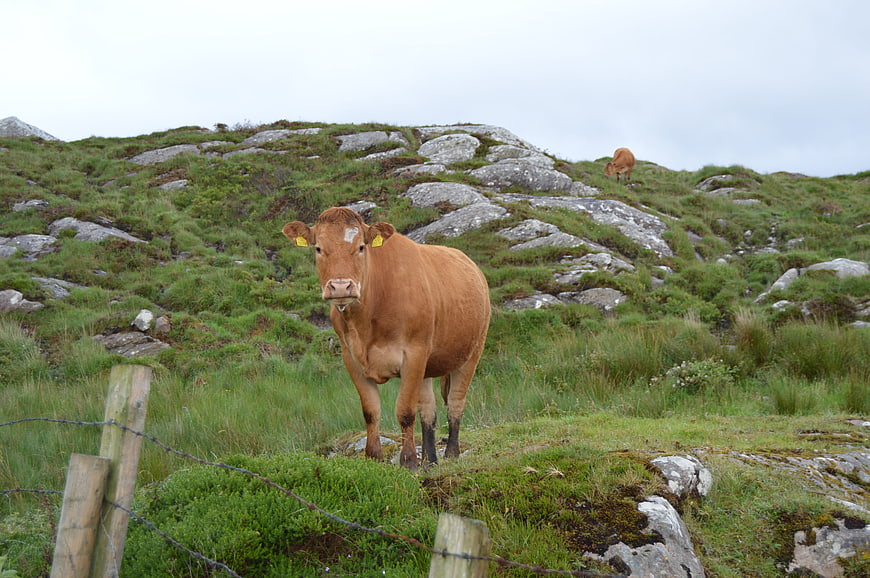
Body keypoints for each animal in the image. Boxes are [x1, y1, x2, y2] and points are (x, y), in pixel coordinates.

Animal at [282, 207, 491, 470]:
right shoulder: (351, 358)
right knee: (428, 410)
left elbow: (405, 410)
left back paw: (450, 454)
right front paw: (373, 458)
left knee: (455, 402)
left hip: (472, 352)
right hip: (428, 365)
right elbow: (371, 411)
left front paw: (408, 461)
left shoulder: (413, 353)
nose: (340, 287)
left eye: (361, 247)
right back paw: (429, 460)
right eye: (318, 248)